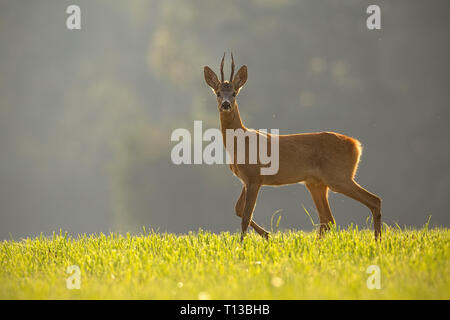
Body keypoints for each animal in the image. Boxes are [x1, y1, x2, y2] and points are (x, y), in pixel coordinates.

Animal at [204, 53, 384, 241]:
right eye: (218, 93)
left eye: (234, 93)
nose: (226, 104)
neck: (239, 143)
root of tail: (356, 144)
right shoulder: (246, 179)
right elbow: (238, 209)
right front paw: (267, 234)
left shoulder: (254, 177)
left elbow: (246, 216)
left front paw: (243, 243)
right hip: (315, 183)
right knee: (328, 219)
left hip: (338, 176)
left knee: (374, 200)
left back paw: (377, 240)